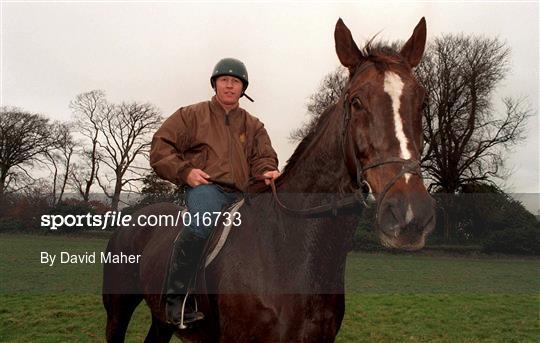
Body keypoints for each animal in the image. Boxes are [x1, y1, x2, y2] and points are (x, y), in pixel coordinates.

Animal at [104, 17, 434, 342]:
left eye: (422, 103)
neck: (287, 245)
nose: (409, 214)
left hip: (161, 321)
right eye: (356, 102)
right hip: (118, 312)